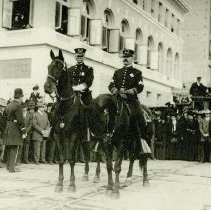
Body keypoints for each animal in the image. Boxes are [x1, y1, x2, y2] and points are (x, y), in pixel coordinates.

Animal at [44, 49, 88, 192]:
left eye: (59, 67)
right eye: (48, 67)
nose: (47, 87)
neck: (65, 106)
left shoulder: (72, 135)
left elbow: (72, 160)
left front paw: (72, 184)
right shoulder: (58, 135)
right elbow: (62, 159)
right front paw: (59, 183)